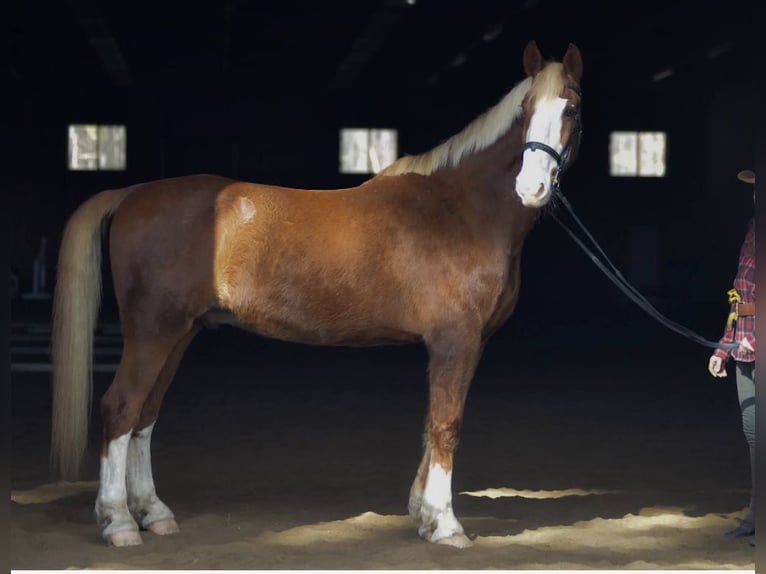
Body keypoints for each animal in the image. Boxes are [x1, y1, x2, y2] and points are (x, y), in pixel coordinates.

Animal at [51, 40, 584, 548]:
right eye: (526, 108)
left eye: (571, 109)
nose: (531, 187)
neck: (459, 209)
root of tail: (133, 193)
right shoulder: (456, 340)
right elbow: (446, 424)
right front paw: (446, 526)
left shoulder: (462, 344)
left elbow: (433, 423)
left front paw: (423, 515)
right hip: (152, 333)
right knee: (121, 408)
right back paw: (118, 522)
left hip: (179, 334)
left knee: (145, 414)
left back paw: (153, 514)